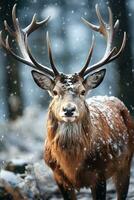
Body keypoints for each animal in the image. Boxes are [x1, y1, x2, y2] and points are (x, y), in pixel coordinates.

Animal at [0, 3, 134, 200]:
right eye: (55, 92)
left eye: (83, 91)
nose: (69, 110)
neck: (72, 166)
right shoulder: (58, 176)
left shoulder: (100, 174)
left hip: (126, 162)